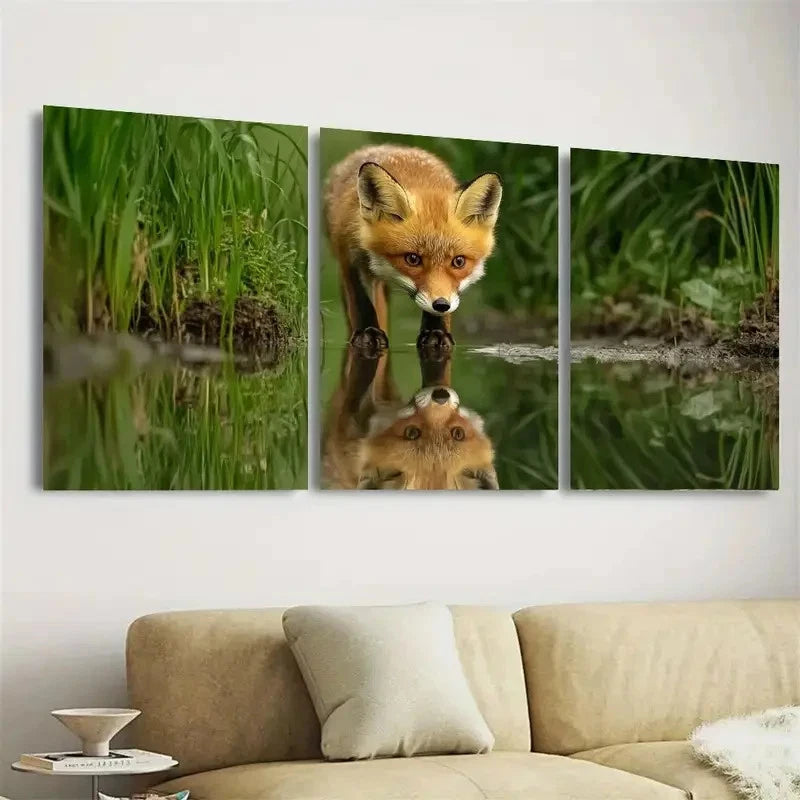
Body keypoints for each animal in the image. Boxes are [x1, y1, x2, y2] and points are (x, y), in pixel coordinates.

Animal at [324, 144, 503, 351]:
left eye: (458, 261)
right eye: (412, 259)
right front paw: (368, 331)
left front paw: (436, 332)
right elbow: (362, 302)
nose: (441, 305)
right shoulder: (350, 257)